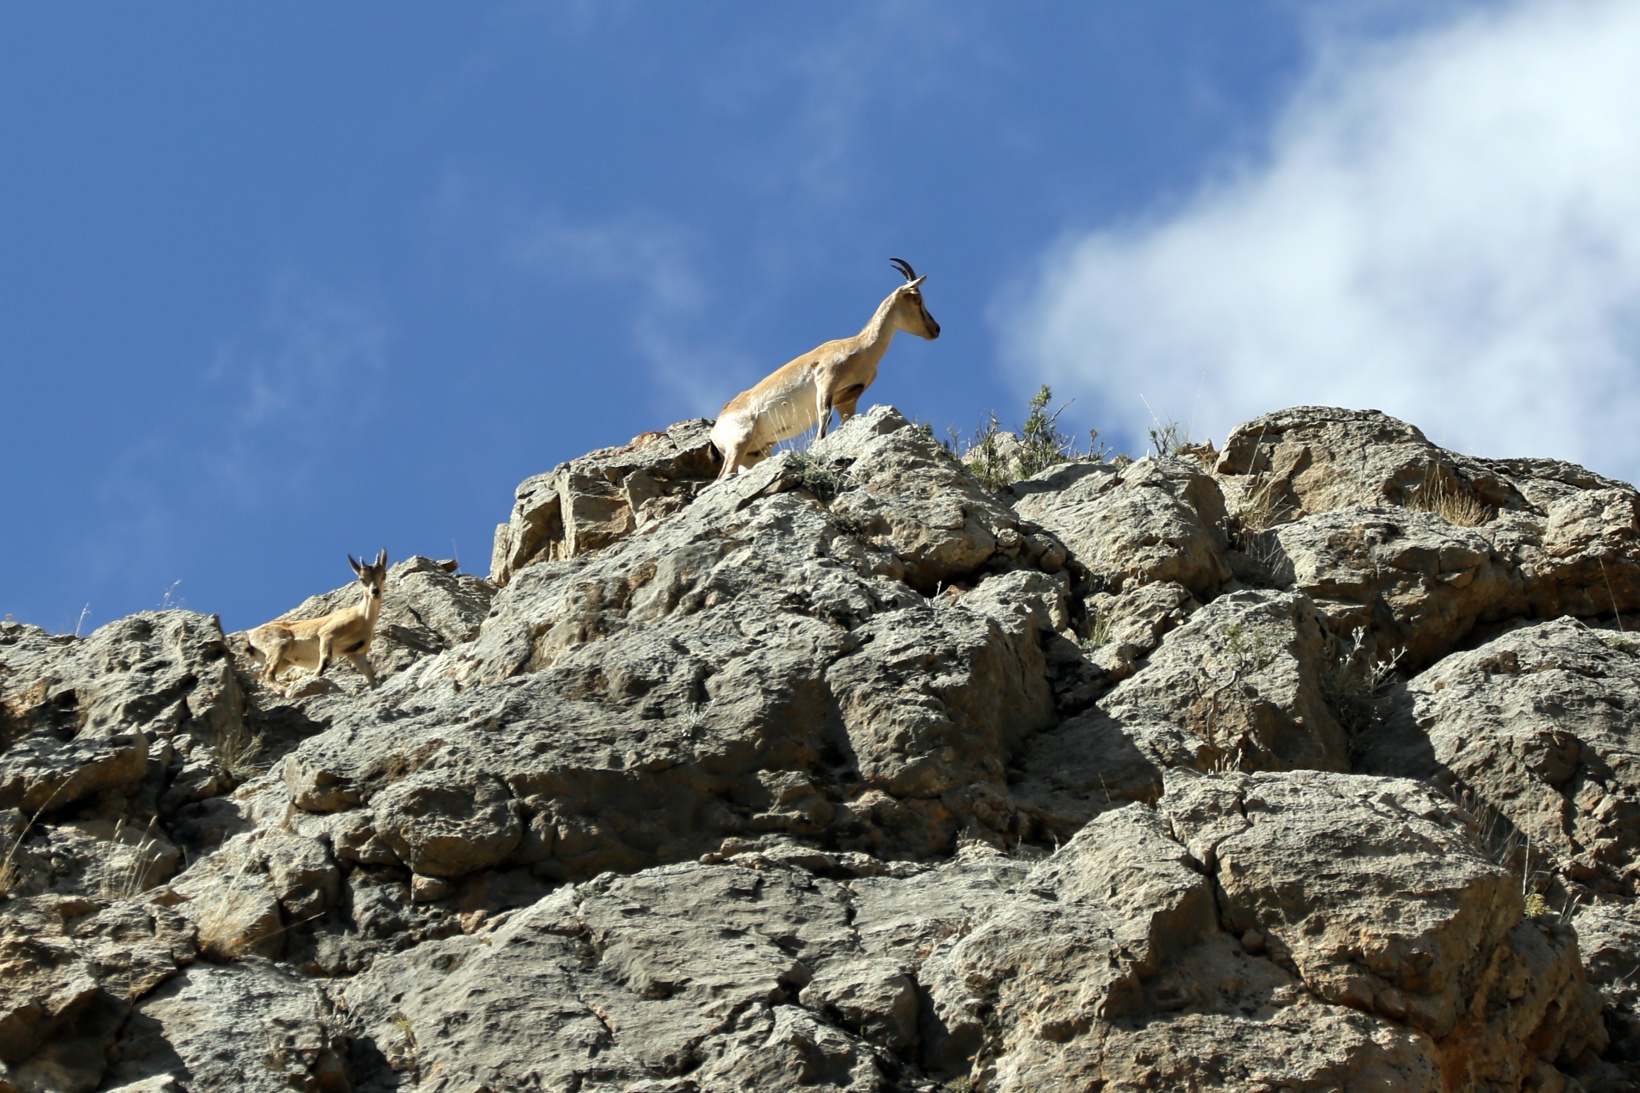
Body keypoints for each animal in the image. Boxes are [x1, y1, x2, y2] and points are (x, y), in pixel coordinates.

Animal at [245, 550, 388, 691]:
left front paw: (375, 687)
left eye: (383, 575)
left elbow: (369, 672)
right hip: (279, 644)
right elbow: (325, 658)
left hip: (283, 660)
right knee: (267, 674)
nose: (375, 592)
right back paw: (282, 689)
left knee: (260, 674)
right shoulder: (327, 633)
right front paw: (315, 676)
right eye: (362, 579)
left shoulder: (356, 653)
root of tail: (251, 636)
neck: (363, 617)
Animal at [711, 258, 940, 479]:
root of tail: (716, 429)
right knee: (723, 474)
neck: (860, 348)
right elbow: (824, 415)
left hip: (755, 453)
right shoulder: (826, 380)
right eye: (917, 299)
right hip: (740, 440)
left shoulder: (848, 400)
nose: (936, 329)